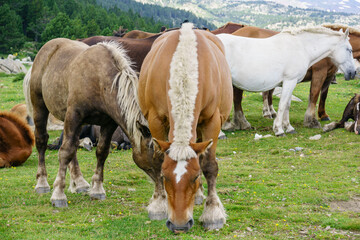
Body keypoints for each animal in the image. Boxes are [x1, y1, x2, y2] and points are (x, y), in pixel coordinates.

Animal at [29, 38, 158, 208]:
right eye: (155, 155)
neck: (100, 80)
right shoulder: (74, 115)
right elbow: (65, 152)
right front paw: (58, 195)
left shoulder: (108, 124)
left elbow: (101, 152)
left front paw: (97, 190)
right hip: (41, 108)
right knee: (42, 141)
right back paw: (42, 183)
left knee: (72, 145)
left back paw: (79, 182)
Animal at [136, 23, 232, 232]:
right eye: (165, 177)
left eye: (195, 177)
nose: (179, 225)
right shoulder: (155, 120)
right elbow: (157, 161)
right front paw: (159, 205)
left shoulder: (213, 121)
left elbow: (209, 165)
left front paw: (213, 213)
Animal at [217, 27, 358, 136]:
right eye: (349, 49)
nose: (353, 72)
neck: (301, 47)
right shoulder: (290, 81)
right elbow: (283, 104)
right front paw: (279, 129)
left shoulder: (291, 82)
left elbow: (287, 105)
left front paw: (288, 127)